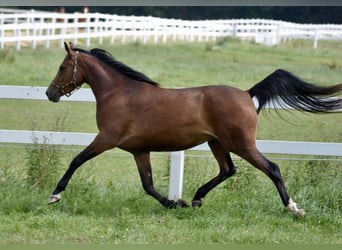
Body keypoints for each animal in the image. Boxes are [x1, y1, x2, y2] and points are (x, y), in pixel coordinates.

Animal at [45, 41, 342, 217]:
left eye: (62, 67)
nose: (50, 93)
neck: (119, 93)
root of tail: (247, 93)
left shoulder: (106, 138)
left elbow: (76, 160)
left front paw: (54, 195)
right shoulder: (139, 150)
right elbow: (148, 185)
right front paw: (176, 203)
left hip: (241, 144)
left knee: (271, 168)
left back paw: (293, 208)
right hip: (217, 143)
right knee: (228, 169)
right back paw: (197, 199)